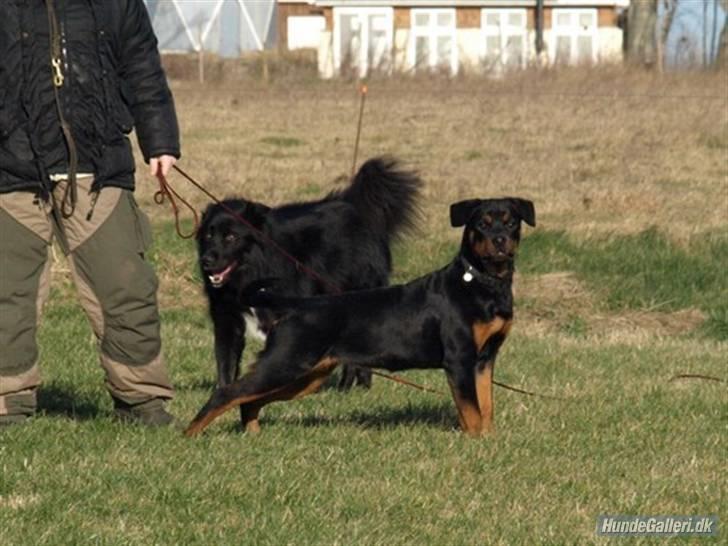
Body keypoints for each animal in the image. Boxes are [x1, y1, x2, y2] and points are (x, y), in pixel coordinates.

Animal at [182, 198, 536, 436]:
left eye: (510, 222)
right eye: (481, 224)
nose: (500, 240)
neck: (481, 281)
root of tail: (296, 306)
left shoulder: (484, 359)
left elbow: (486, 404)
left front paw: (487, 440)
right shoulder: (459, 358)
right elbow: (471, 408)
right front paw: (475, 440)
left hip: (307, 375)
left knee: (248, 400)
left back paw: (252, 434)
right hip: (285, 363)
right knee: (227, 392)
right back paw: (190, 435)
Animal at [196, 155, 420, 388]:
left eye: (231, 237)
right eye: (209, 235)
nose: (206, 261)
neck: (253, 269)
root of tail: (355, 206)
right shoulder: (226, 319)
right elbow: (226, 363)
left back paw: (357, 387)